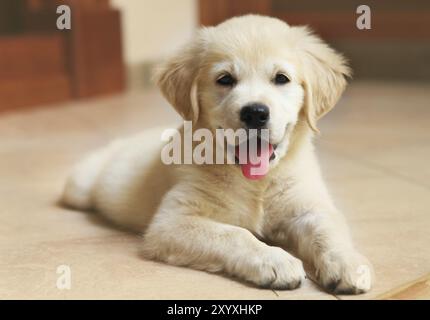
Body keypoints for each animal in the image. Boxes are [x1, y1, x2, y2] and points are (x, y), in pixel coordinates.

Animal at [61, 15, 372, 296]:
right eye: (225, 79)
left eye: (281, 78)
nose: (255, 113)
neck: (256, 183)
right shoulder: (171, 222)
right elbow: (235, 234)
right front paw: (274, 260)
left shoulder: (310, 206)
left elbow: (328, 230)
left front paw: (348, 263)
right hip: (79, 187)